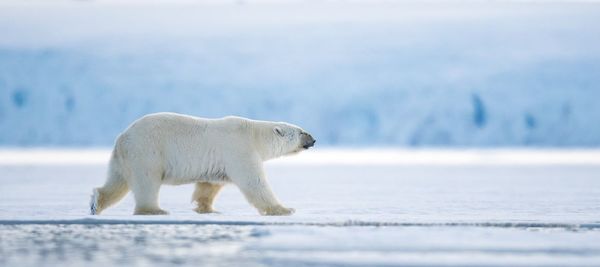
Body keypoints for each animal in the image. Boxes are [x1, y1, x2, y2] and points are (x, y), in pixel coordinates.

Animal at [90, 112, 314, 217]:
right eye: (301, 131)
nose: (313, 140)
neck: (254, 135)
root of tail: (122, 137)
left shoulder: (219, 162)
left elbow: (210, 184)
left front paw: (207, 208)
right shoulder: (239, 148)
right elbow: (254, 183)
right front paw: (285, 209)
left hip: (123, 158)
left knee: (117, 182)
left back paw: (96, 203)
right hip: (147, 151)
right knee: (147, 181)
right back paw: (154, 210)